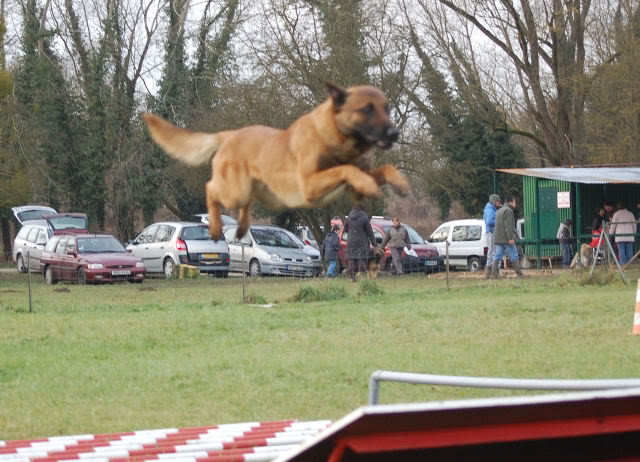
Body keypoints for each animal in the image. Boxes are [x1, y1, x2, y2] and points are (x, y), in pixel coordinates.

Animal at [143, 83, 408, 240]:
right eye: (367, 109)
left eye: (386, 108)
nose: (395, 133)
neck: (336, 138)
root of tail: (230, 134)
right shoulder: (310, 185)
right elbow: (346, 168)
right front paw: (369, 183)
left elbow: (382, 168)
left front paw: (400, 183)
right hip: (234, 190)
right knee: (210, 189)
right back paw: (217, 228)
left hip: (253, 190)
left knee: (244, 204)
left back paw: (241, 227)